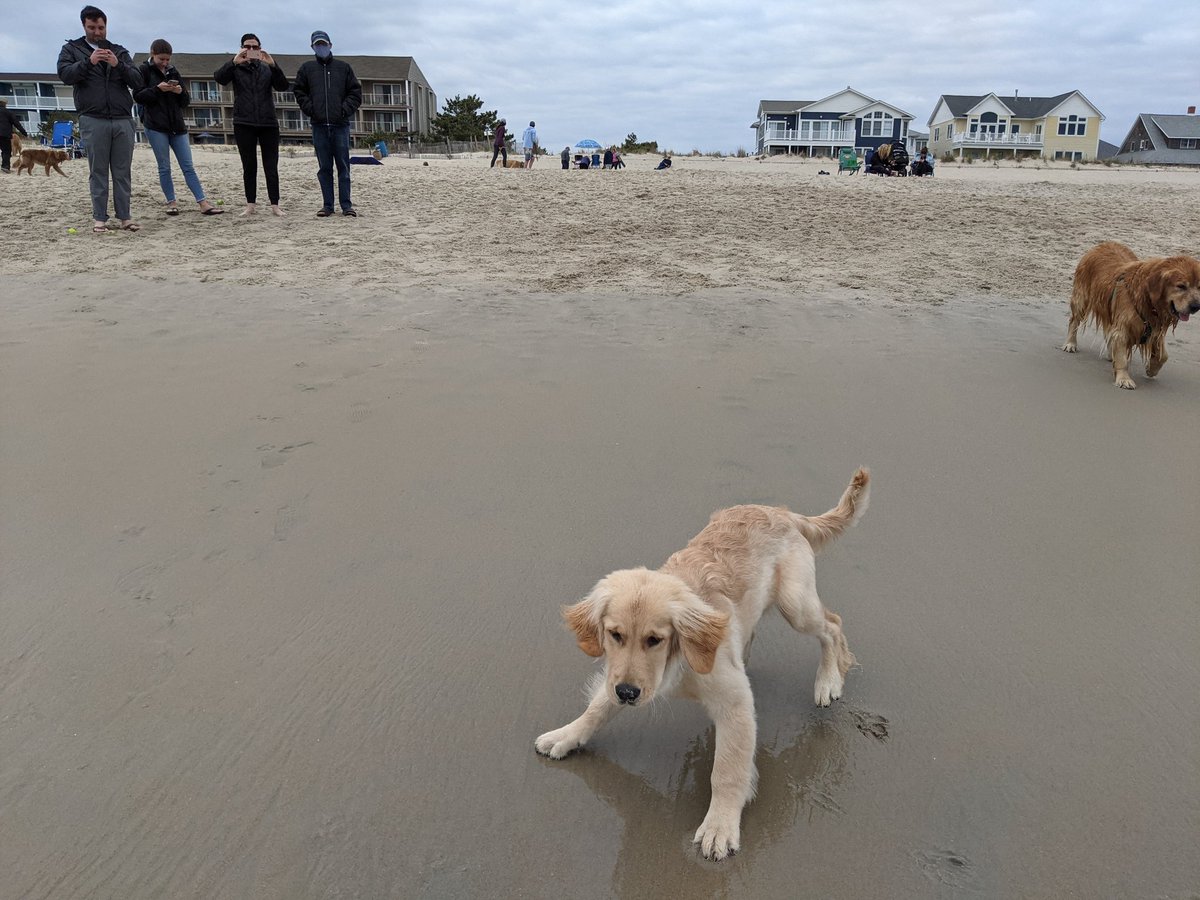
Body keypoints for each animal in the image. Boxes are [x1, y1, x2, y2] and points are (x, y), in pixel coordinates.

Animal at [537, 468, 873, 864]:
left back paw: (828, 680)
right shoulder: (618, 676)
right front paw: (566, 734)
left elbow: (726, 770)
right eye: (614, 634)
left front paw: (720, 826)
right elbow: (597, 708)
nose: (629, 694)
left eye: (655, 639)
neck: (677, 661)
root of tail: (783, 512)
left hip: (795, 602)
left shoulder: (734, 702)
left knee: (832, 625)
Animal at [1060, 241, 1200, 388]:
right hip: (1082, 297)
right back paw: (1070, 344)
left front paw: (1151, 370)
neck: (1147, 298)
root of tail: (1103, 244)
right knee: (1074, 320)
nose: (1196, 306)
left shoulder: (1155, 329)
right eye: (1181, 286)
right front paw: (1124, 379)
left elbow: (1163, 356)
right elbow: (1122, 356)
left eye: (1199, 287)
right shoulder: (1123, 326)